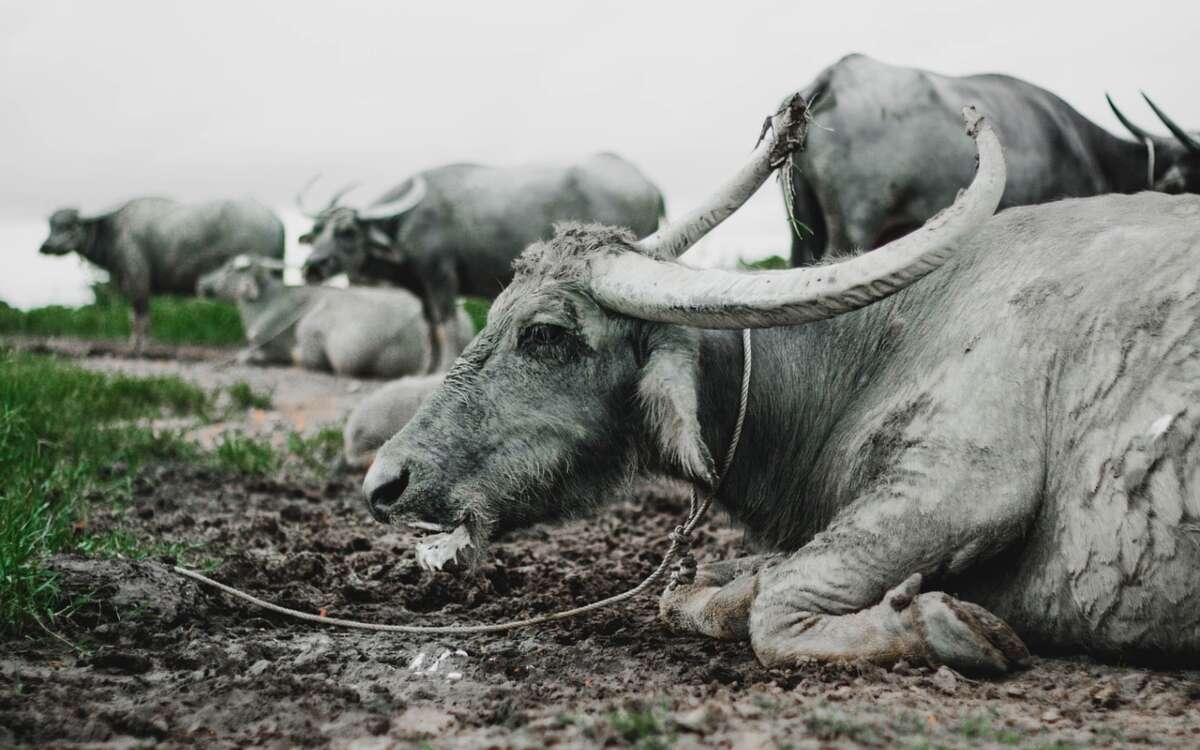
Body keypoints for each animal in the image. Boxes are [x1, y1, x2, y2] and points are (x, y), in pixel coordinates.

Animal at [38, 198, 283, 352]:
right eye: (51, 225)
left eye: (68, 226)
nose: (46, 246)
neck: (113, 232)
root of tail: (276, 221)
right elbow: (133, 316)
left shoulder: (137, 280)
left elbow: (141, 317)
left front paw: (140, 345)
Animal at [294, 153, 662, 374]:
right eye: (317, 231)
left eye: (347, 231)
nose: (312, 266)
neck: (407, 222)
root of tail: (648, 184)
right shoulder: (422, 286)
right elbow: (430, 326)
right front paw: (427, 369)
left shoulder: (440, 276)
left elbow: (446, 323)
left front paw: (442, 367)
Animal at [360, 94, 1200, 672]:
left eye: (545, 333)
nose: (382, 482)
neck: (879, 343)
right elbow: (705, 586)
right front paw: (724, 588)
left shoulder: (968, 481)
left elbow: (779, 606)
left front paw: (950, 625)